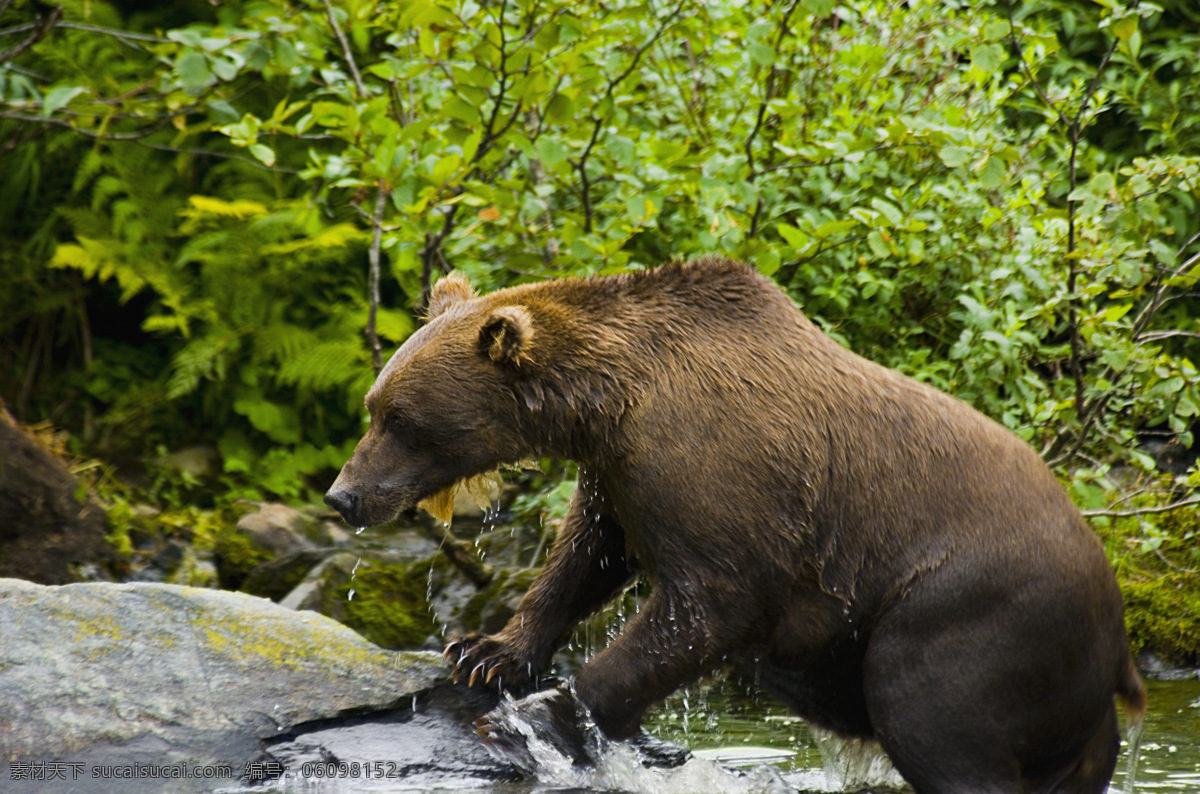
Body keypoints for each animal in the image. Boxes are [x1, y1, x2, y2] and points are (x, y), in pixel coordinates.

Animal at [324, 256, 1146, 793]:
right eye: (374, 405)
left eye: (401, 419)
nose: (344, 496)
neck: (608, 403)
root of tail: (1117, 629)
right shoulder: (618, 474)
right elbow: (585, 557)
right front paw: (486, 652)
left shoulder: (719, 477)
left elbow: (706, 608)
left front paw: (537, 718)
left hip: (969, 613)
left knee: (935, 717)